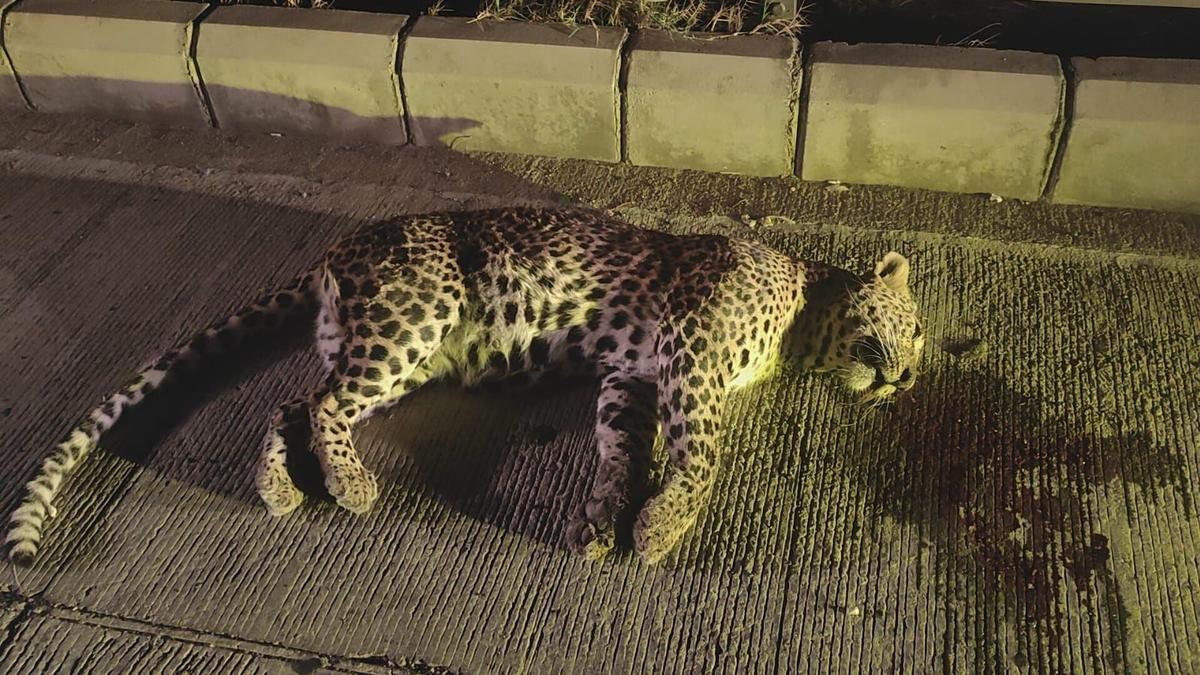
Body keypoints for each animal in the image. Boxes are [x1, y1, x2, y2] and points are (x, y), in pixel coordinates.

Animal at [6, 206, 924, 565]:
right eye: (914, 327)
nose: (909, 376)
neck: (807, 316)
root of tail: (336, 252)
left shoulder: (631, 374)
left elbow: (622, 448)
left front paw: (602, 519)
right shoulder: (691, 356)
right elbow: (702, 455)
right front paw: (661, 527)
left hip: (388, 349)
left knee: (292, 399)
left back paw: (281, 488)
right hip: (416, 315)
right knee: (324, 404)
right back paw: (351, 486)